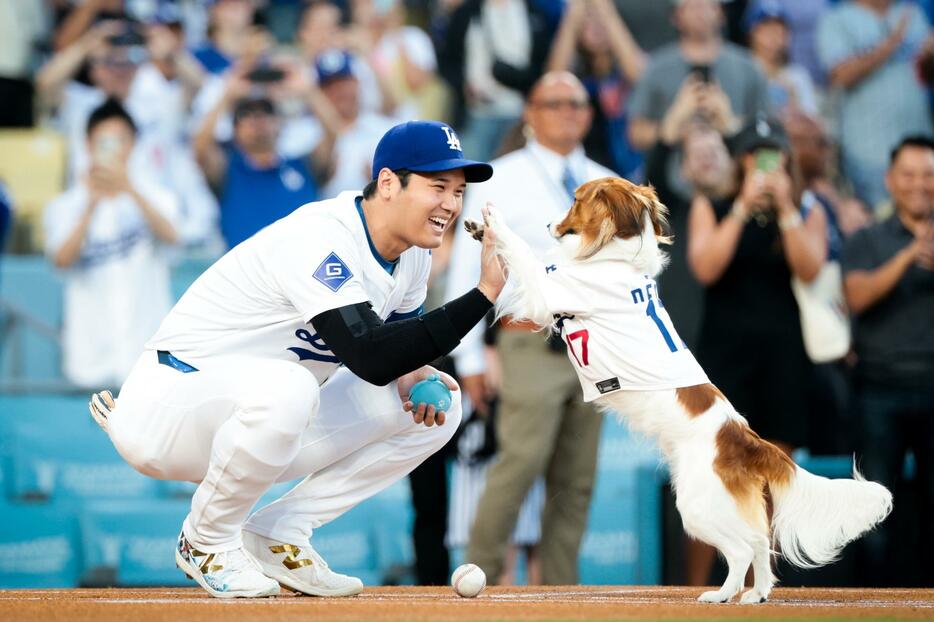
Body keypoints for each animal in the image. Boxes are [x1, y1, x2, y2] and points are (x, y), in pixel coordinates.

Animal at [468, 178, 892, 608]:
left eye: (576, 200)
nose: (550, 223)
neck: (616, 258)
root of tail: (746, 439)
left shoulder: (547, 289)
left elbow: (521, 251)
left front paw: (494, 222)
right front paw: (479, 229)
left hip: (696, 505)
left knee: (741, 549)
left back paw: (721, 594)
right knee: (759, 541)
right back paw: (755, 595)